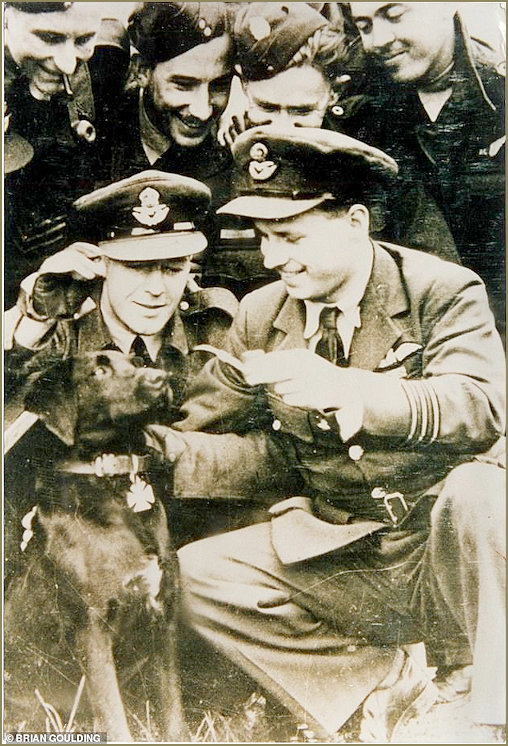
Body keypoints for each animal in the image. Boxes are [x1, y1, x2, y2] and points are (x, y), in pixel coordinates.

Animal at [4, 352, 188, 740]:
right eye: (98, 370)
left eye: (136, 360)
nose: (161, 378)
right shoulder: (91, 629)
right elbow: (114, 718)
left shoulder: (163, 614)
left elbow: (173, 708)